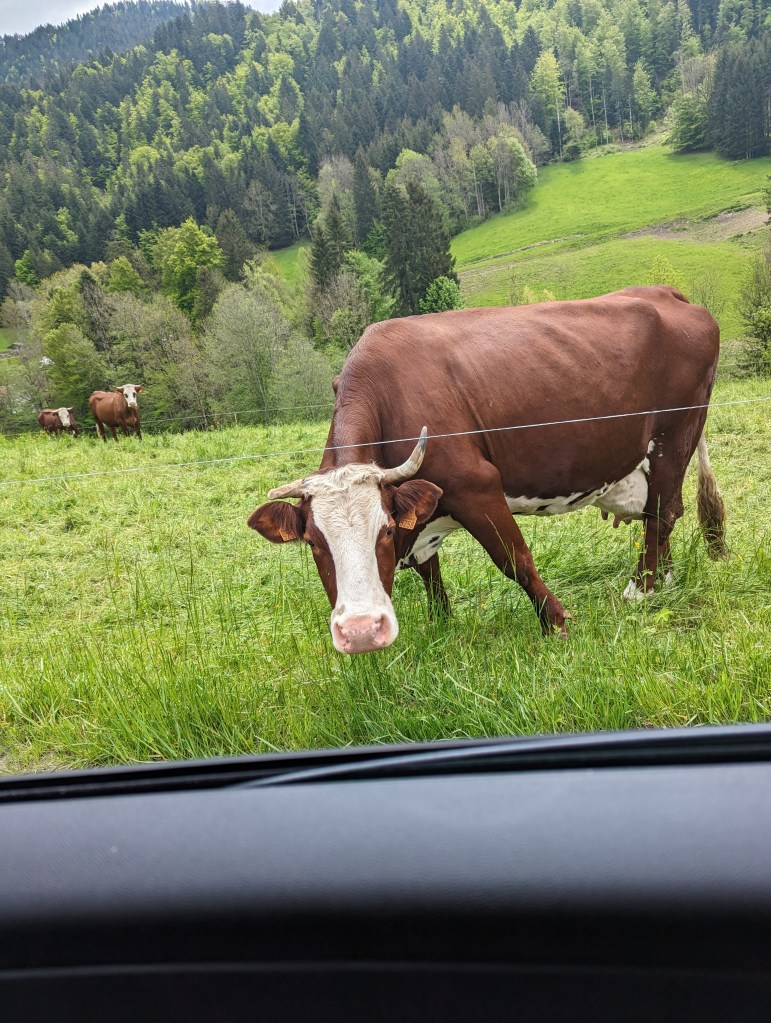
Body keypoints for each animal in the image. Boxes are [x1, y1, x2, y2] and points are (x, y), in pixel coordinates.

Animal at [248, 286, 726, 654]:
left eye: (383, 531)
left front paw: (556, 624)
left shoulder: (475, 486)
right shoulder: (423, 507)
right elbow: (429, 571)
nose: (362, 633)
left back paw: (640, 590)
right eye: (314, 543)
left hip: (675, 436)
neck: (388, 394)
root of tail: (667, 293)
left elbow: (515, 559)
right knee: (662, 514)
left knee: (662, 513)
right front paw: (442, 624)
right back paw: (663, 581)